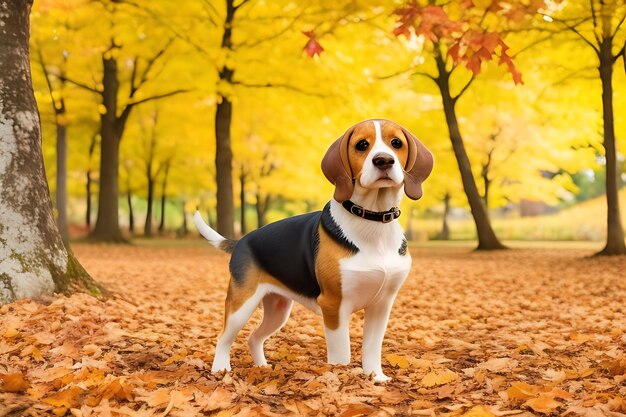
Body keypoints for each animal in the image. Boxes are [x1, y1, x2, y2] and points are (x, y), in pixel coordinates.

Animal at [193, 118, 432, 380]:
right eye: (361, 145)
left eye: (396, 143)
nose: (383, 160)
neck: (372, 222)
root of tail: (241, 241)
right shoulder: (334, 305)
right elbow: (342, 354)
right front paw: (340, 377)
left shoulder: (382, 305)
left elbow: (372, 348)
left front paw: (375, 377)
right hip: (241, 304)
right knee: (223, 337)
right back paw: (221, 369)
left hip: (278, 310)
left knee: (253, 337)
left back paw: (262, 366)